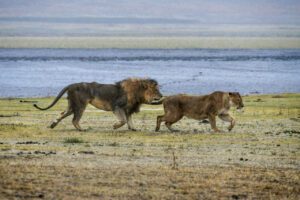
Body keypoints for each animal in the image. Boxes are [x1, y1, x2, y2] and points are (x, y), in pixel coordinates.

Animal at [32, 78, 162, 131]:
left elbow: (129, 120)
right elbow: (123, 120)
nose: (161, 96)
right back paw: (81, 129)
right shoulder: (117, 107)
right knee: (74, 119)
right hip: (80, 105)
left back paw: (53, 125)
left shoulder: (128, 109)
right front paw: (115, 126)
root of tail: (71, 85)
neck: (138, 93)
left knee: (62, 113)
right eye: (156, 90)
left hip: (72, 105)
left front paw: (133, 128)